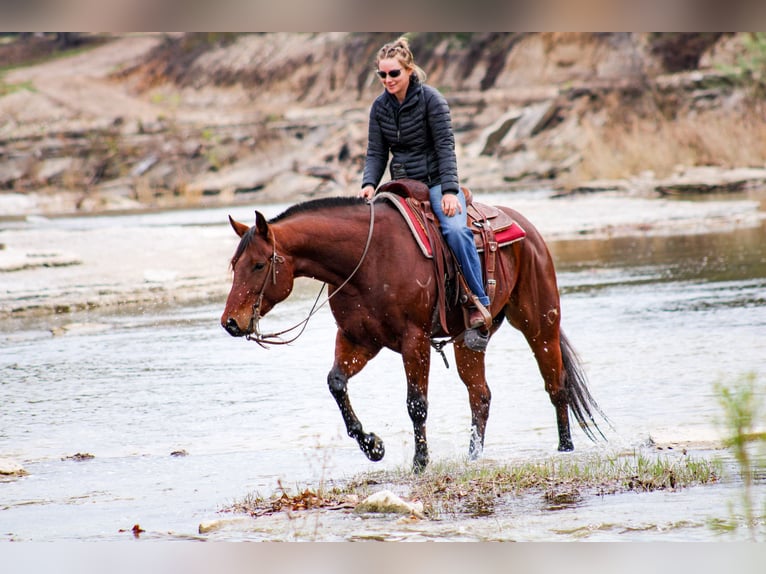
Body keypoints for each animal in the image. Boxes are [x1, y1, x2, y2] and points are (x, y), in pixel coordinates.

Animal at [222, 195, 612, 472]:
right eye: (234, 264)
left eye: (259, 264)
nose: (230, 323)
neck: (365, 259)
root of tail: (527, 229)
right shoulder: (358, 340)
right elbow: (336, 383)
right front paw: (372, 445)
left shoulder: (415, 341)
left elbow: (416, 403)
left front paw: (420, 461)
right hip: (468, 341)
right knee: (480, 396)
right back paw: (474, 457)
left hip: (540, 323)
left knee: (556, 385)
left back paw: (565, 448)